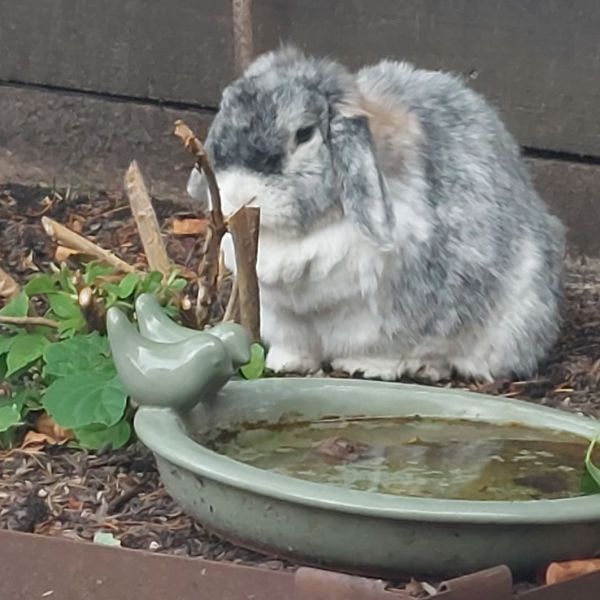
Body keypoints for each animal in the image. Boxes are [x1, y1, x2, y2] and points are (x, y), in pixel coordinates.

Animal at [186, 48, 564, 384]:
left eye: (304, 134)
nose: (239, 192)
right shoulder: (283, 315)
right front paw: (288, 362)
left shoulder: (393, 315)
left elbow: (388, 345)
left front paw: (365, 367)